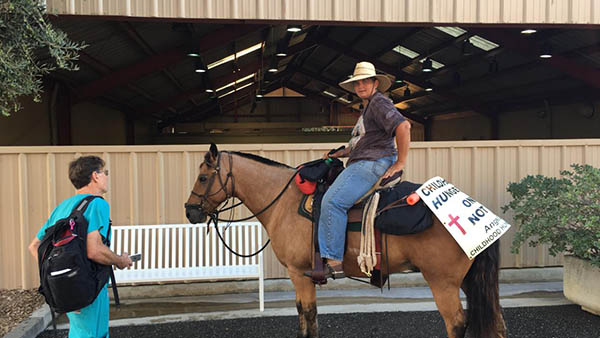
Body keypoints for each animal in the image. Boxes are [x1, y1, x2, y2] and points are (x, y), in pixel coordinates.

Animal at [185, 143, 504, 338]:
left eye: (203, 178)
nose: (190, 211)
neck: (283, 201)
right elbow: (305, 315)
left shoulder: (299, 273)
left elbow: (308, 314)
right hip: (469, 280)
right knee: (496, 321)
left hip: (442, 281)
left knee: (457, 323)